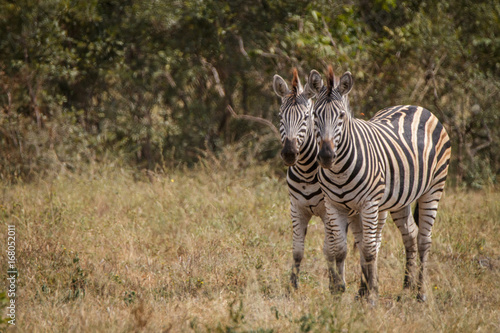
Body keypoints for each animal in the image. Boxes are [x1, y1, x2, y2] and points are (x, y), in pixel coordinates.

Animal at [272, 67, 330, 288]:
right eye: (280, 117)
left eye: (306, 117)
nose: (289, 153)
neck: (306, 171)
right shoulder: (296, 209)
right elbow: (297, 251)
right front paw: (292, 287)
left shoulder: (328, 212)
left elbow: (330, 250)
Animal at [306, 66, 452, 302]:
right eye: (314, 115)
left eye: (341, 115)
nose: (326, 156)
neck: (338, 172)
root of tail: (417, 106)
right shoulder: (334, 205)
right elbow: (339, 248)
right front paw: (341, 292)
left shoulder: (369, 204)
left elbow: (368, 248)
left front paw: (371, 294)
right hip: (401, 198)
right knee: (410, 235)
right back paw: (406, 287)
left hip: (434, 188)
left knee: (424, 240)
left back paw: (421, 293)